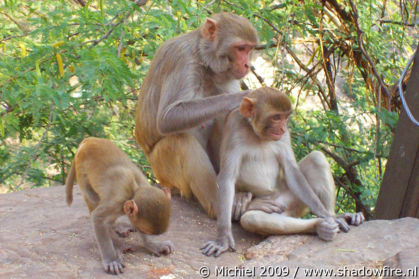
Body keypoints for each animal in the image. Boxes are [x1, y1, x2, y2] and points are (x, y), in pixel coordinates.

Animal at [65, 138, 174, 276]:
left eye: (144, 231)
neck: (135, 190)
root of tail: (88, 140)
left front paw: (153, 244)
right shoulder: (117, 202)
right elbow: (98, 218)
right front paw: (111, 260)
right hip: (81, 171)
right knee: (92, 199)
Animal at [135, 12, 260, 219]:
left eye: (249, 49)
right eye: (240, 48)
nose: (247, 64)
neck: (204, 60)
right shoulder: (184, 61)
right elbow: (167, 117)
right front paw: (241, 97)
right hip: (163, 171)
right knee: (181, 141)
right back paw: (219, 205)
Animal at [201, 87, 364, 258]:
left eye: (285, 117)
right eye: (276, 117)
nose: (282, 128)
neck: (256, 134)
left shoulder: (285, 136)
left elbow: (291, 170)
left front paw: (328, 215)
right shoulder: (234, 126)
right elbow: (227, 178)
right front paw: (223, 238)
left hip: (294, 200)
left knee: (316, 158)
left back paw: (333, 217)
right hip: (277, 206)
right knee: (253, 218)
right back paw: (319, 226)